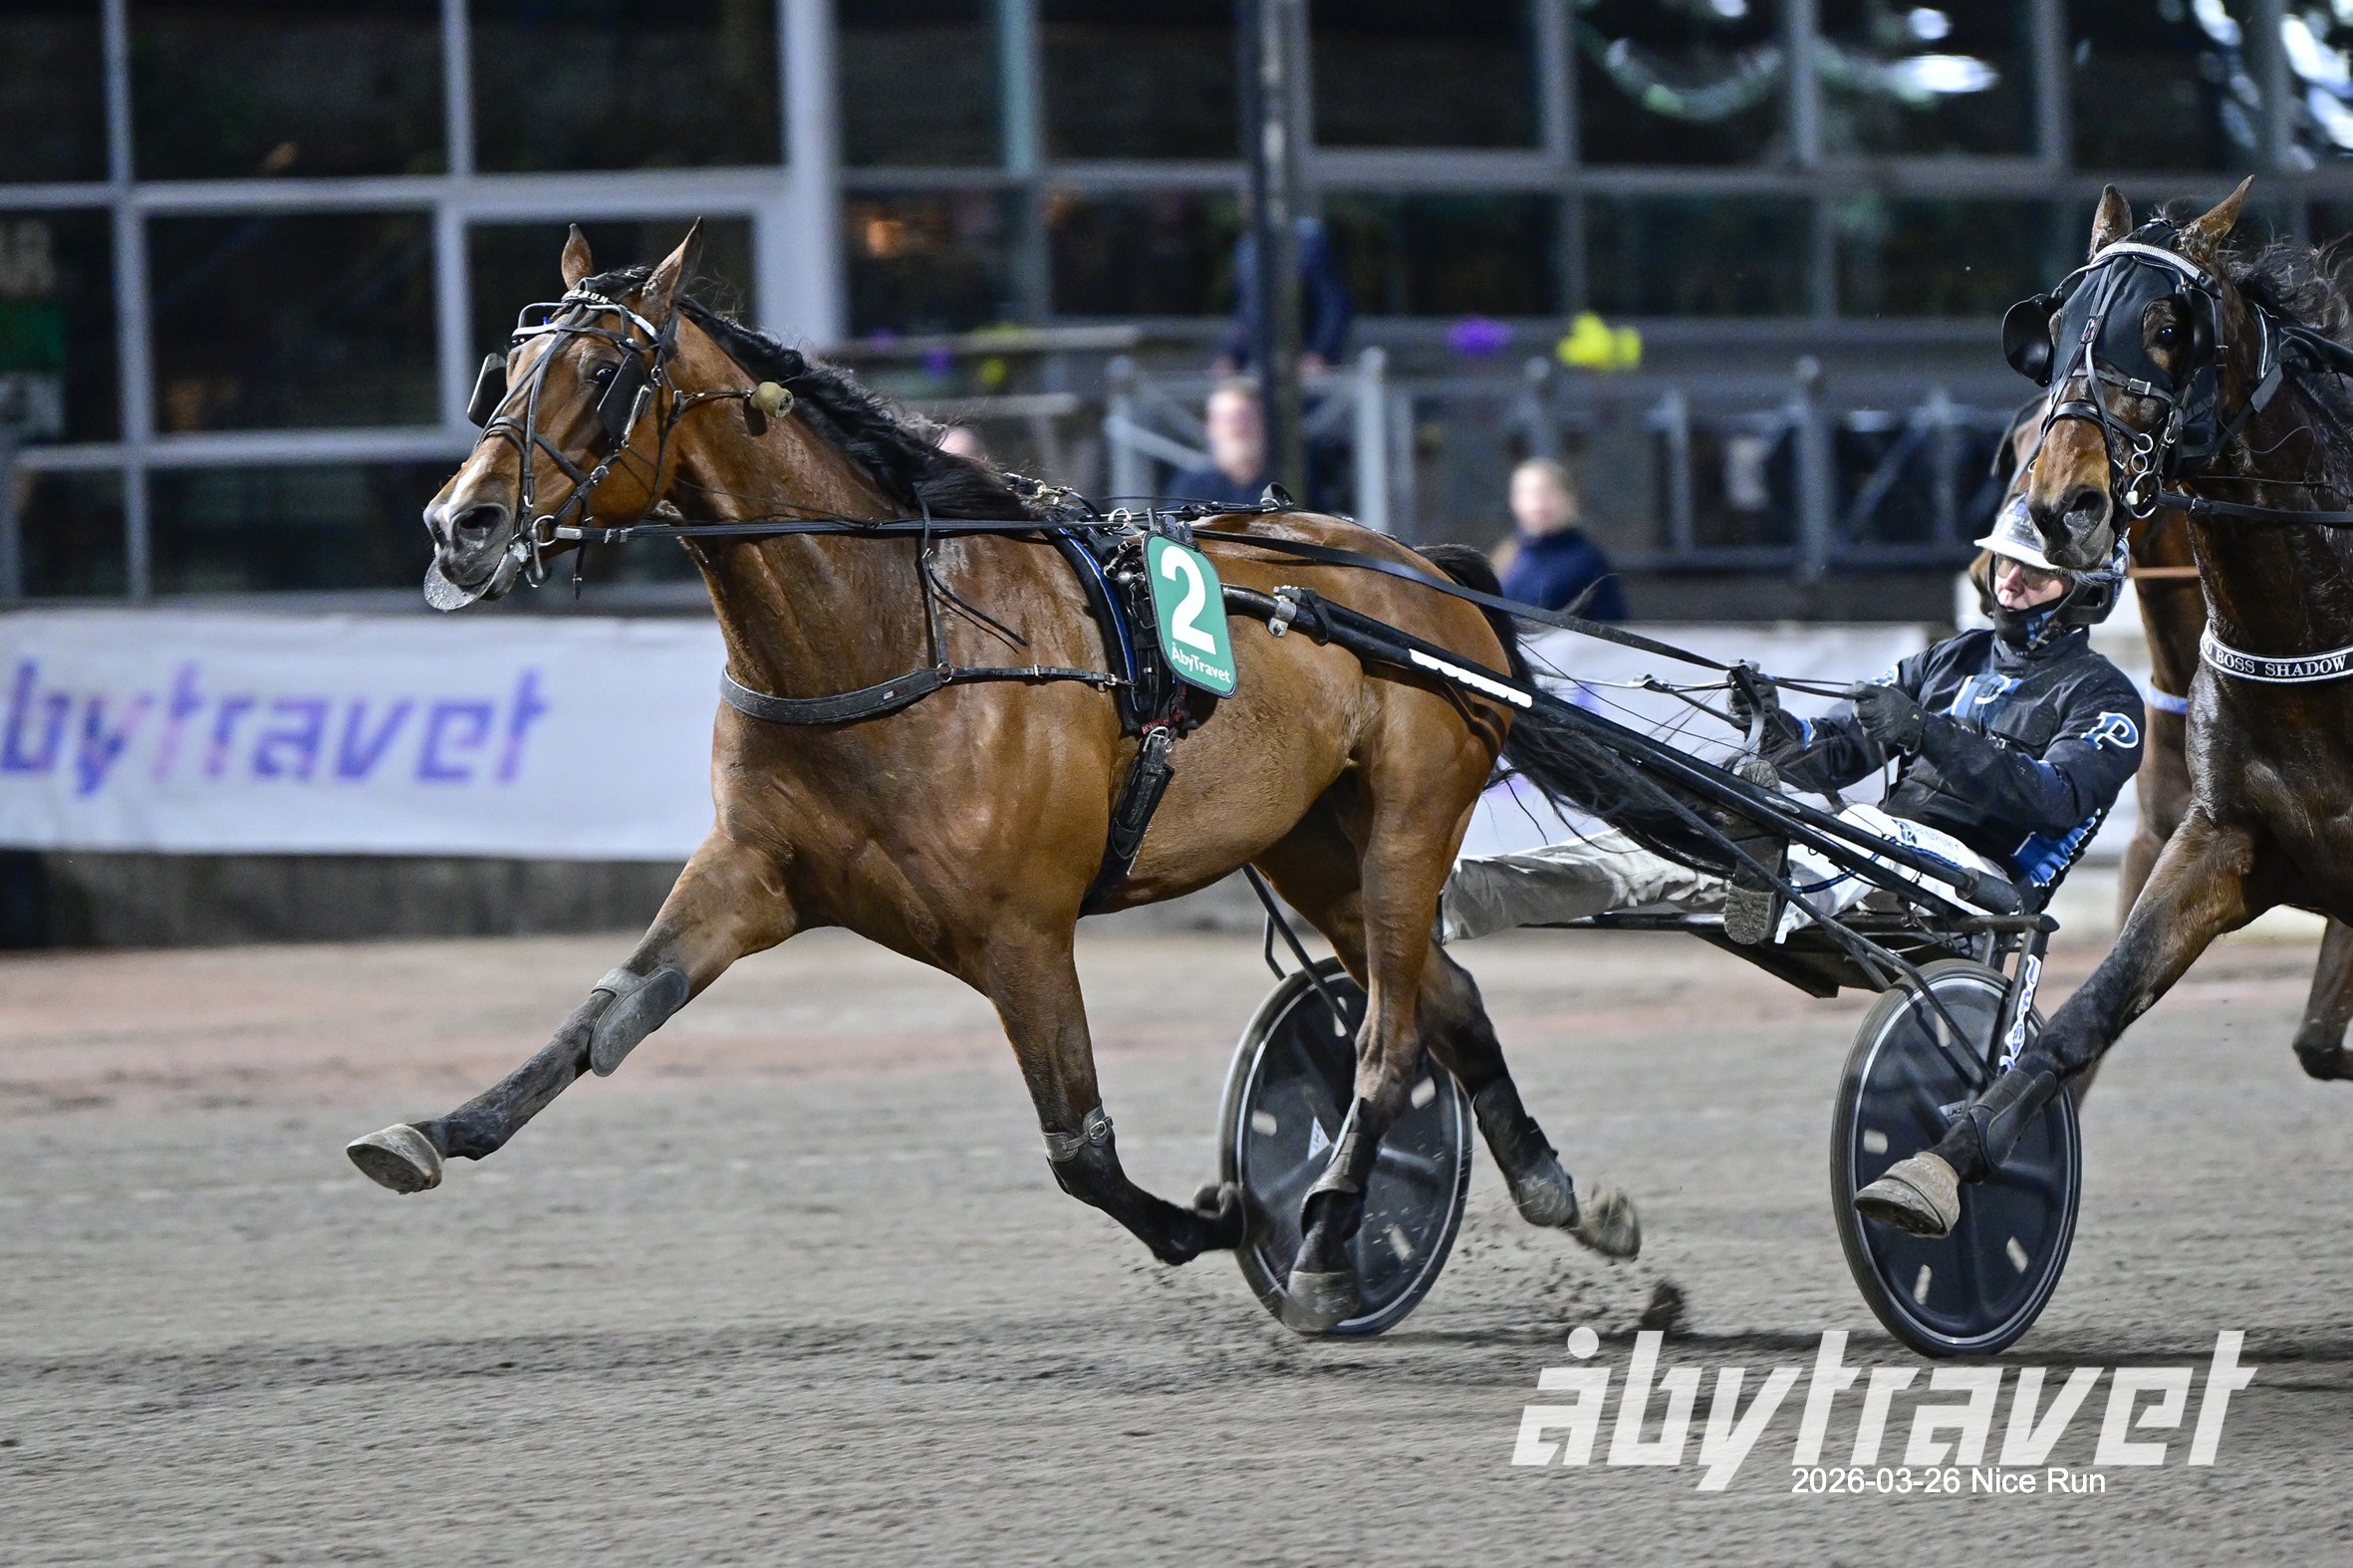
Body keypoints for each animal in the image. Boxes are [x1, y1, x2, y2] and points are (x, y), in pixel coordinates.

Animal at [342, 223, 1639, 1330]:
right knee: (1445, 1000)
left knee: (1389, 1034)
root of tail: (1422, 569)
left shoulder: (1021, 928)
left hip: (1411, 815)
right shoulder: (753, 872)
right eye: (506, 370)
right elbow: (607, 1013)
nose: (459, 522)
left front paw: (1226, 1218)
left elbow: (1081, 1147)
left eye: (605, 371)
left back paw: (1324, 1242)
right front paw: (435, 1127)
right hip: (1313, 837)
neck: (888, 633)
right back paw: (1562, 1193)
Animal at [1860, 181, 2353, 1238]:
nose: (2057, 509)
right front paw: (1943, 1162)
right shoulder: (2216, 836)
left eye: (2168, 328)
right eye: (2057, 326)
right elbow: (2092, 1010)